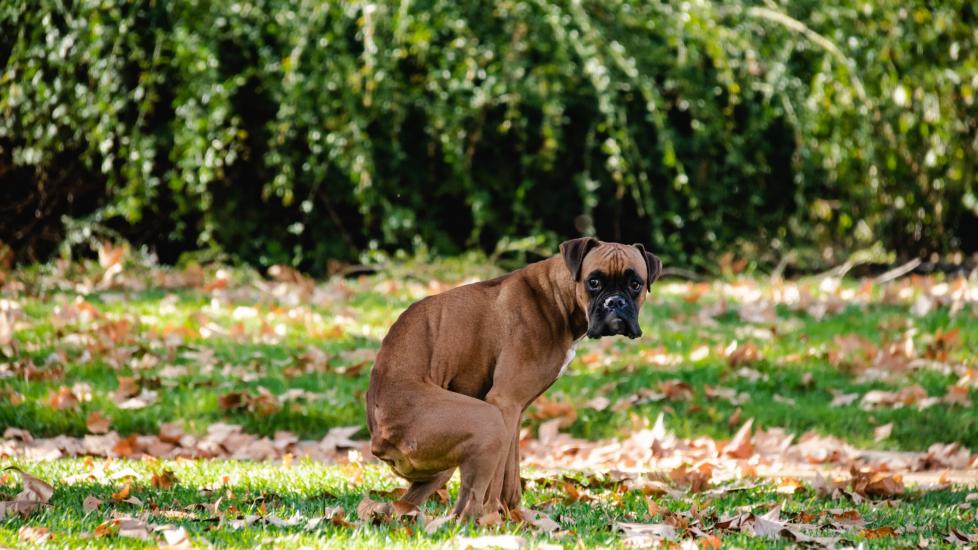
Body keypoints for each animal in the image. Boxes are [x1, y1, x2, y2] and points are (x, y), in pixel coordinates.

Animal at [366, 239, 664, 520]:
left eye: (635, 284)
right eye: (594, 281)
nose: (615, 302)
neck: (557, 296)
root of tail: (379, 440)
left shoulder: (515, 411)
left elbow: (511, 473)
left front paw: (515, 515)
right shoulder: (504, 403)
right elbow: (497, 480)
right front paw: (495, 517)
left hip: (443, 466)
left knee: (405, 505)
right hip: (487, 422)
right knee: (465, 508)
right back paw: (481, 522)